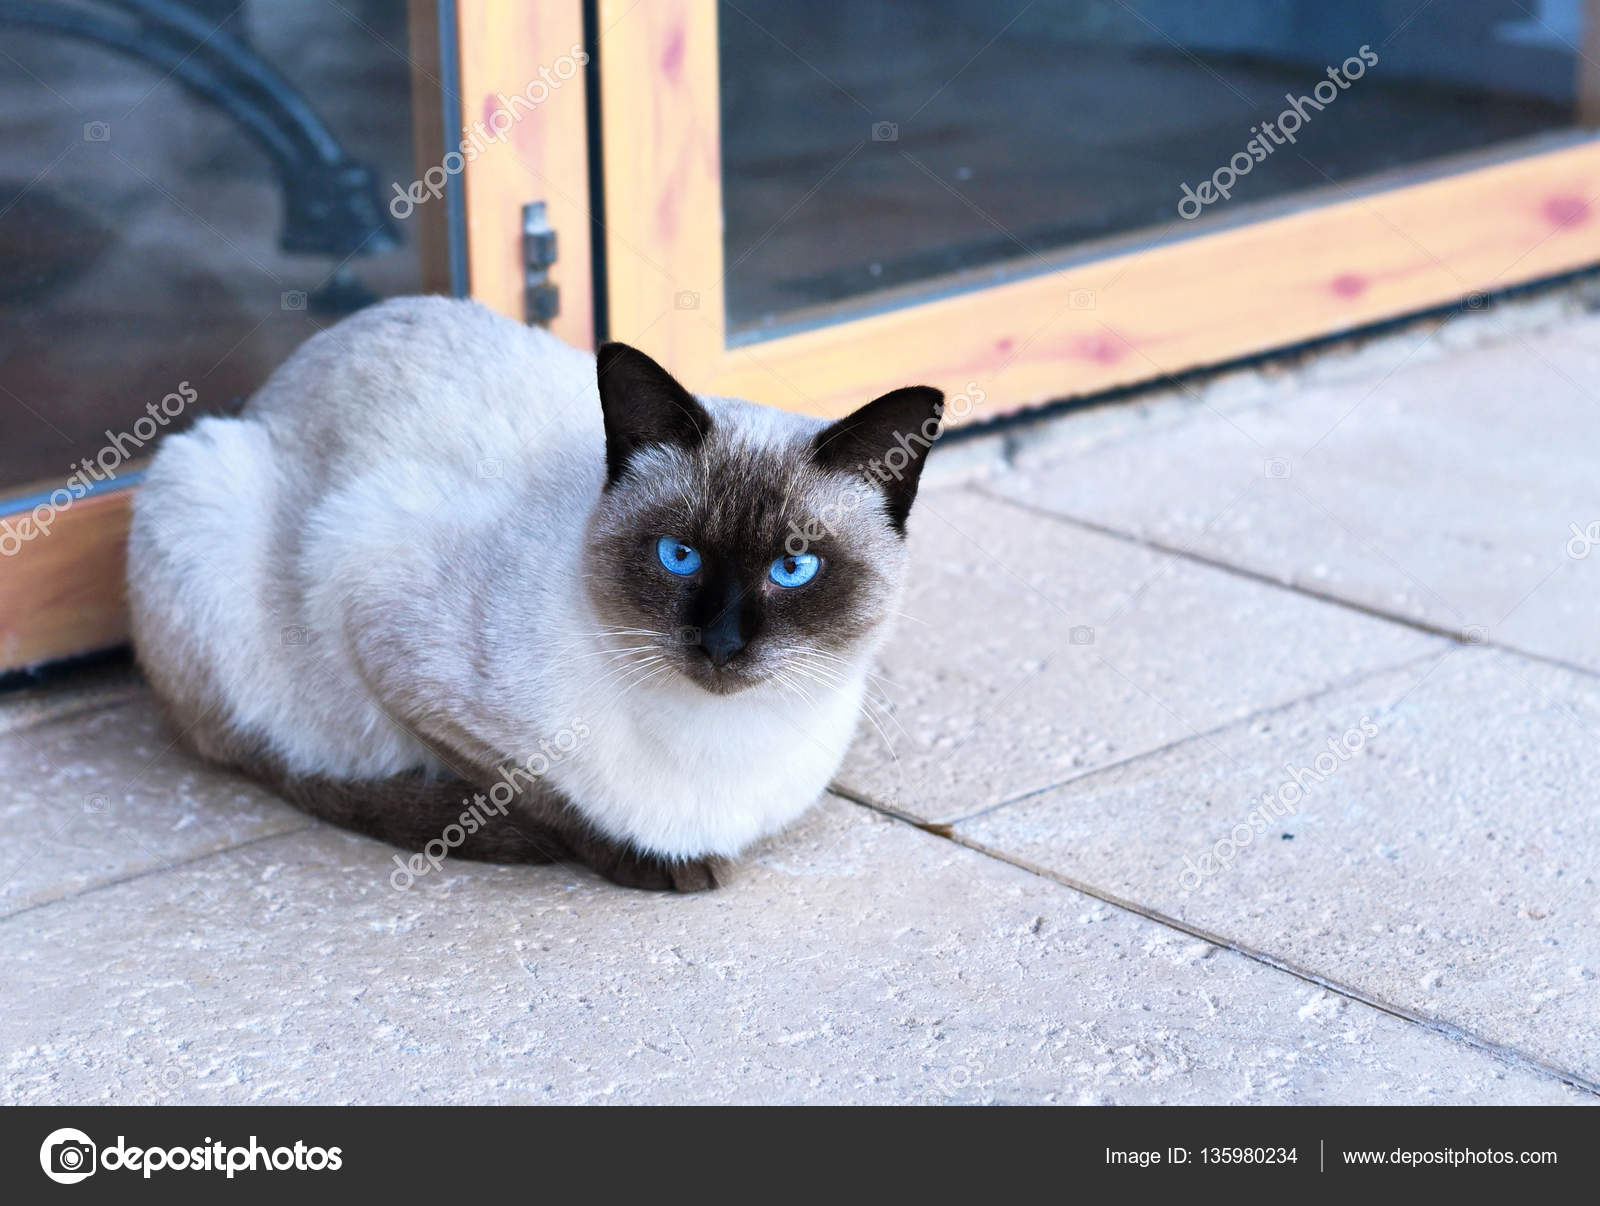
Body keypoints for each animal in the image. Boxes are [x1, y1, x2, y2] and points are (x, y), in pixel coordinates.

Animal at [134, 295, 947, 889]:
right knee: (267, 756)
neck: (720, 746)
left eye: (793, 569)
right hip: (204, 492)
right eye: (678, 556)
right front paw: (656, 865)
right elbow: (545, 799)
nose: (721, 643)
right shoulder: (384, 621)